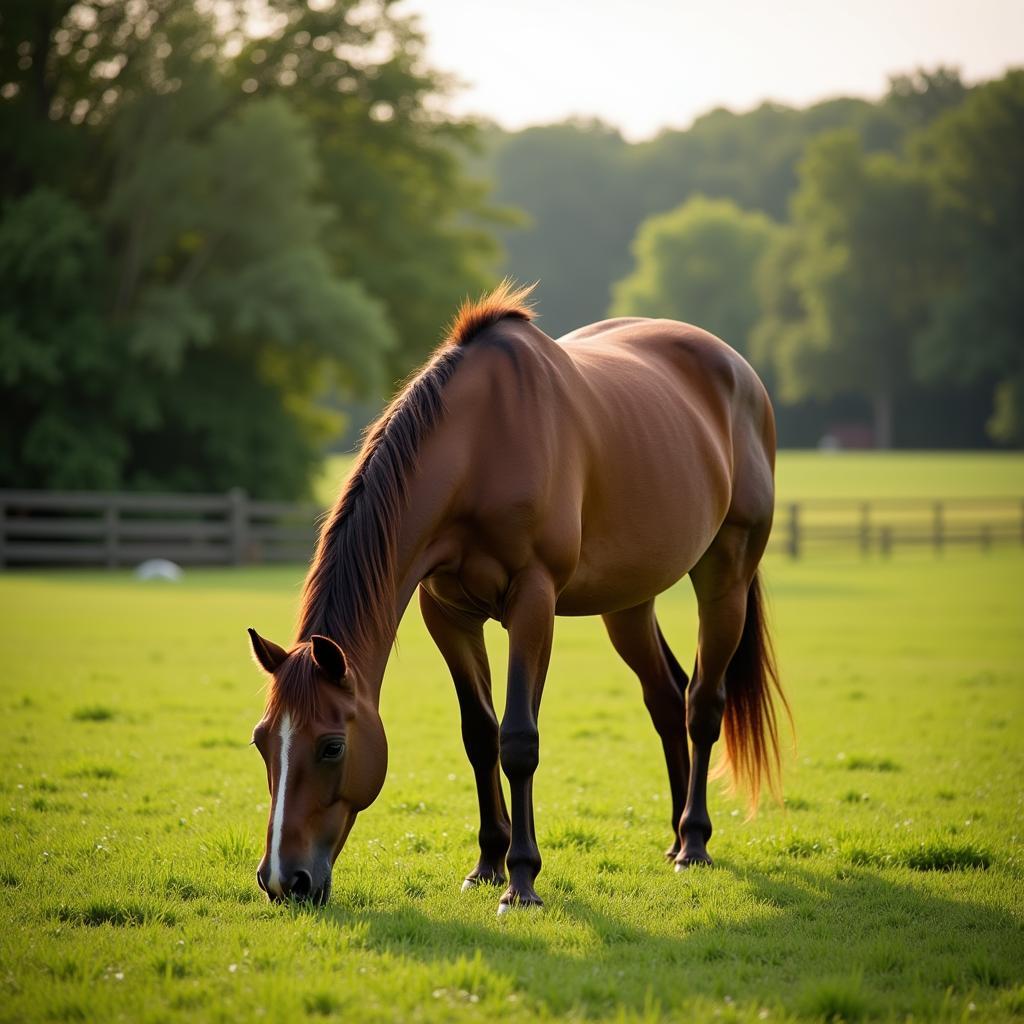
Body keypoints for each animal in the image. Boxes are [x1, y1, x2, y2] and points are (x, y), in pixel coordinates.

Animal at [247, 278, 790, 913]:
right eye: (262, 741)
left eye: (331, 746)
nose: (283, 880)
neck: (480, 444)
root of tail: (740, 371)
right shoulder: (447, 613)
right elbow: (480, 736)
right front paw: (487, 863)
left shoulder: (533, 602)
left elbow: (518, 740)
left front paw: (521, 878)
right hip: (628, 603)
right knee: (666, 697)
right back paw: (674, 835)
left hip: (725, 578)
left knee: (702, 703)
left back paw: (695, 843)